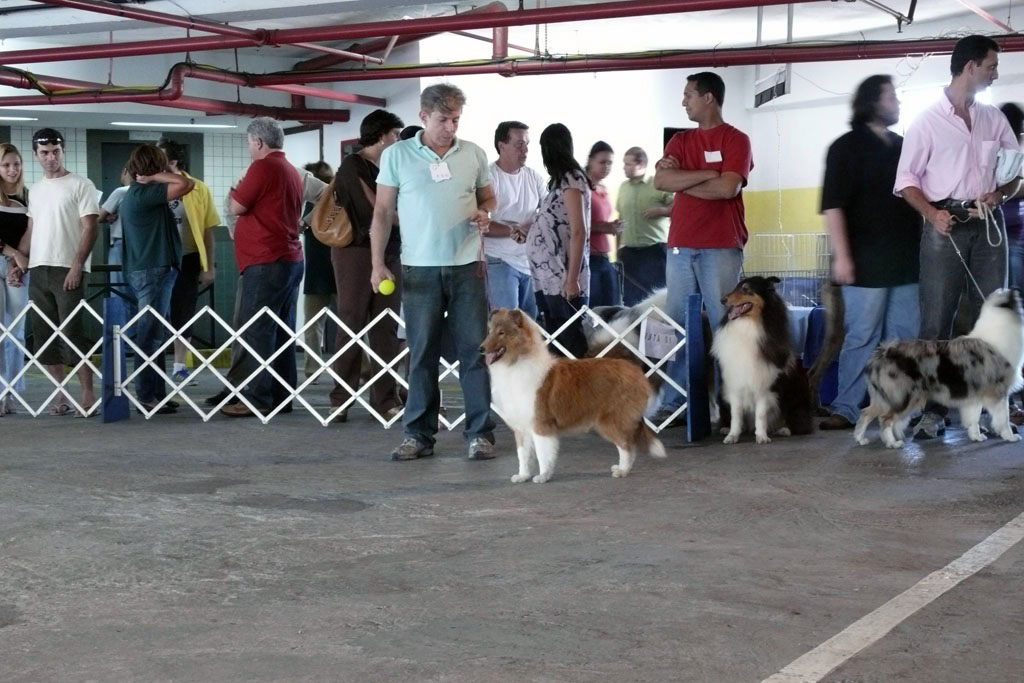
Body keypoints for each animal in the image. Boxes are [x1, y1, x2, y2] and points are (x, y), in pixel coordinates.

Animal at [483, 307, 667, 483]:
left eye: (501, 332)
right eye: (490, 331)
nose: (481, 348)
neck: (516, 363)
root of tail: (630, 366)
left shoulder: (540, 424)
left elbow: (543, 454)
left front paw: (543, 476)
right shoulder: (521, 427)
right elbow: (523, 456)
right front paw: (522, 476)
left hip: (611, 420)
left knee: (627, 446)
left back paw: (622, 471)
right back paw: (621, 468)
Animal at [712, 274, 815, 446]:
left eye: (746, 289)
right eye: (735, 287)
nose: (722, 300)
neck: (748, 324)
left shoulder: (764, 385)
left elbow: (761, 414)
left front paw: (761, 437)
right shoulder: (735, 382)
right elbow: (736, 414)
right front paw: (732, 436)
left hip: (797, 395)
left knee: (801, 424)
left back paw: (784, 430)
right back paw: (725, 428)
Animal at [856, 286, 1024, 448]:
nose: (1017, 289)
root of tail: (880, 354)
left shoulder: (974, 394)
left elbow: (973, 418)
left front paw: (976, 436)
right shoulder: (998, 392)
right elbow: (1003, 418)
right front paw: (1010, 436)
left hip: (887, 397)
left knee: (866, 413)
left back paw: (860, 439)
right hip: (902, 397)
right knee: (885, 419)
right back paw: (892, 443)